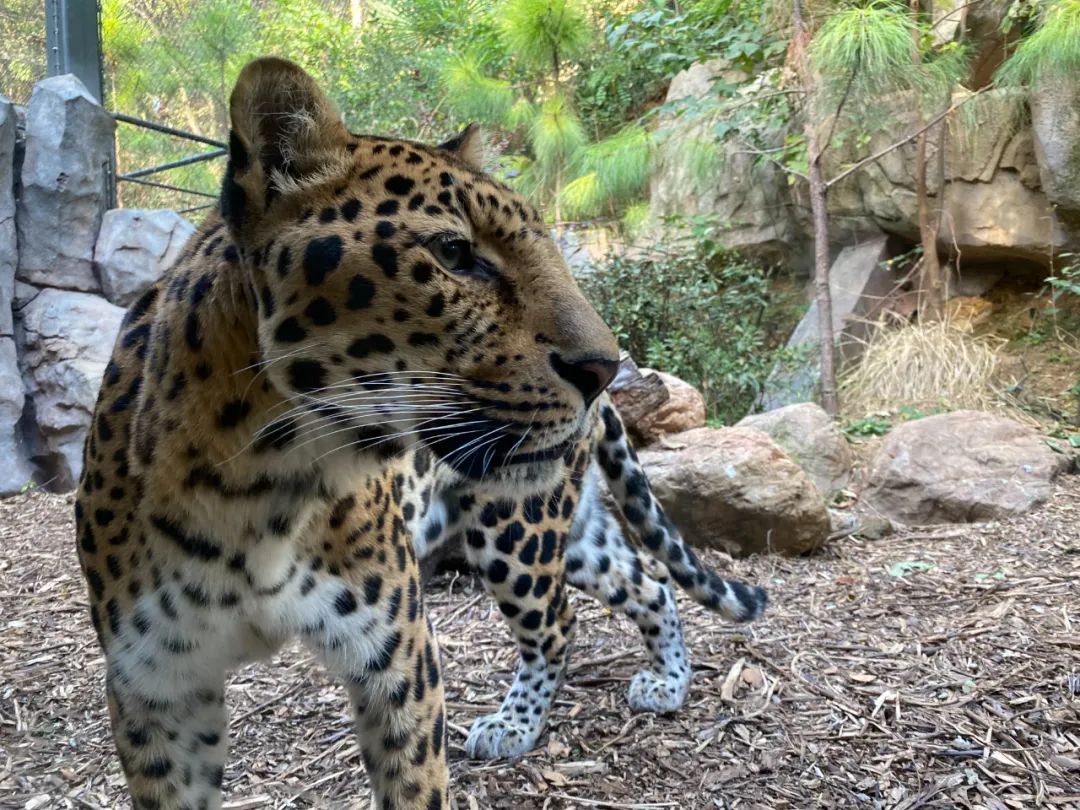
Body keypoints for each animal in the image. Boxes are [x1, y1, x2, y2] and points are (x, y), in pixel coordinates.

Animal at [71, 57, 626, 810]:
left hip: (517, 527)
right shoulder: (157, 690)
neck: (253, 490)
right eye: (455, 252)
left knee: (563, 615)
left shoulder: (398, 659)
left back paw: (521, 722)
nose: (605, 367)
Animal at [406, 399, 768, 760]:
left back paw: (512, 724)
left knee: (556, 630)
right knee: (651, 587)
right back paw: (669, 682)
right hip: (573, 533)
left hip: (515, 522)